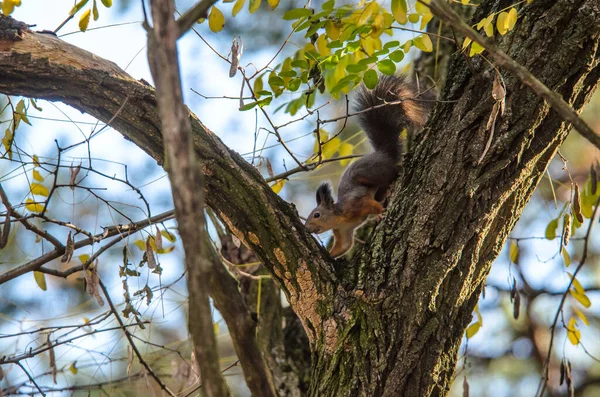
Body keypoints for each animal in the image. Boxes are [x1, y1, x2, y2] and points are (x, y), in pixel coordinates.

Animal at [304, 74, 432, 256]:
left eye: (316, 215)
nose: (307, 229)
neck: (338, 218)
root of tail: (382, 152)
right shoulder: (343, 231)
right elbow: (344, 246)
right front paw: (329, 254)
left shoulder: (358, 203)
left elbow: (372, 205)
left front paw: (379, 215)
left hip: (370, 171)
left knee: (394, 171)